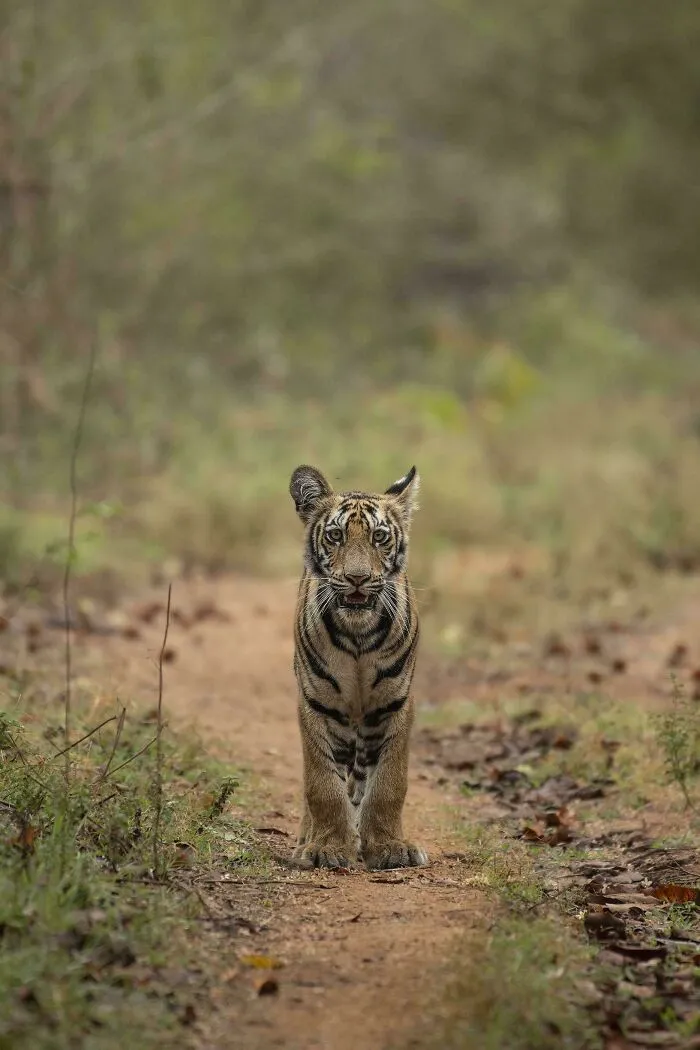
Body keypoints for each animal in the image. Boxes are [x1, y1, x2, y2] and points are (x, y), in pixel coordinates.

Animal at [289, 463, 428, 871]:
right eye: (335, 535)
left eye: (379, 537)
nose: (357, 578)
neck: (357, 636)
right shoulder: (316, 704)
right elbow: (322, 784)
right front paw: (327, 848)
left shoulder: (394, 704)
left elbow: (388, 785)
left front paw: (389, 847)